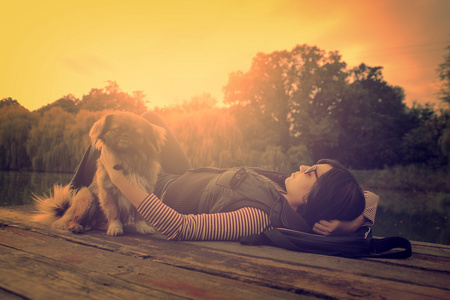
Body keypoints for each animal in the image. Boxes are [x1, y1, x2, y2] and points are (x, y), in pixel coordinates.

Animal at [33, 111, 166, 236]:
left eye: (137, 134)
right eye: (116, 130)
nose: (125, 135)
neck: (127, 157)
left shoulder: (144, 190)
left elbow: (140, 214)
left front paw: (142, 227)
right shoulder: (107, 192)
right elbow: (113, 212)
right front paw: (115, 227)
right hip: (86, 196)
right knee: (70, 221)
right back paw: (76, 226)